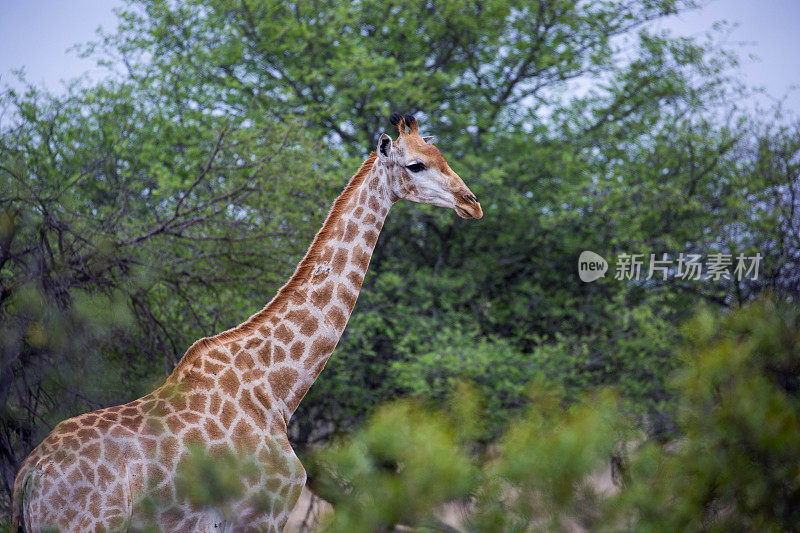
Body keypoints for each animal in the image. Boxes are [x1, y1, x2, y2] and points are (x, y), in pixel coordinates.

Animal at [12, 113, 482, 532]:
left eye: (440, 155)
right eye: (415, 165)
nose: (471, 203)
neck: (276, 391)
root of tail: (27, 480)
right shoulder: (262, 516)